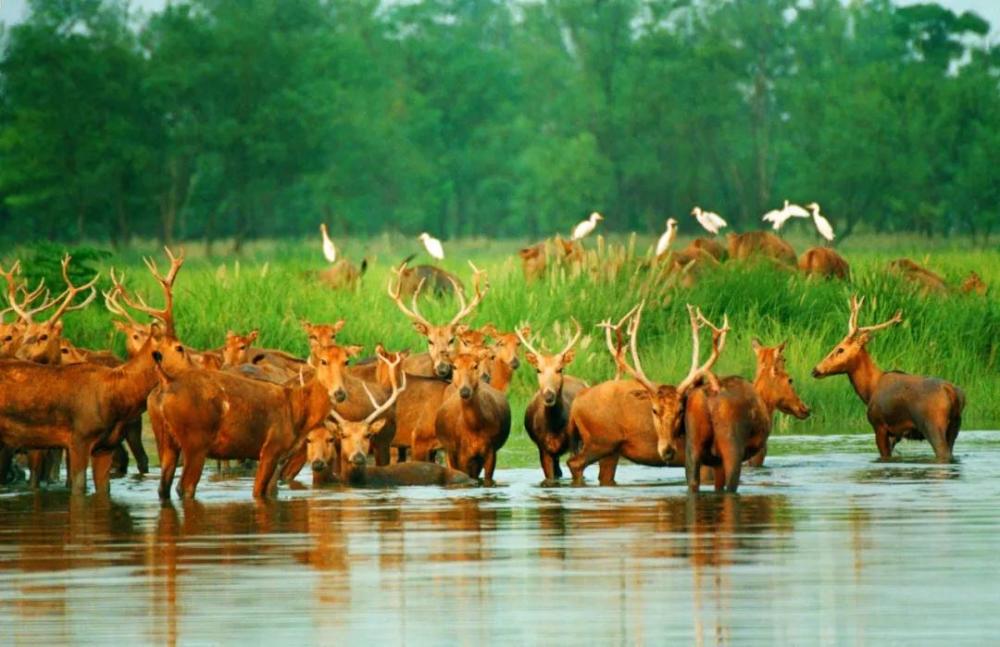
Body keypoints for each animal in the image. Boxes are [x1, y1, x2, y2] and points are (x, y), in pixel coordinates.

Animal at [0, 251, 191, 494]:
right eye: (179, 347)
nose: (199, 369)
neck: (115, 394)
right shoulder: (79, 438)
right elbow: (78, 486)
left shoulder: (105, 446)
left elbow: (104, 490)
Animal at [434, 350, 512, 486]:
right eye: (455, 366)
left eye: (475, 366)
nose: (465, 391)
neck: (473, 426)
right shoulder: (459, 453)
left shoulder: (490, 451)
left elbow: (487, 480)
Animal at [516, 318, 584, 480]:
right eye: (538, 370)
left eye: (559, 369)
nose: (549, 395)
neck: (554, 427)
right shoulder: (543, 448)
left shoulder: (574, 444)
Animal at [808, 296, 964, 464]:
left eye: (840, 349)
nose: (815, 370)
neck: (869, 390)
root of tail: (951, 392)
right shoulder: (896, 434)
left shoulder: (879, 425)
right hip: (955, 425)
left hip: (932, 423)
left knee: (943, 452)